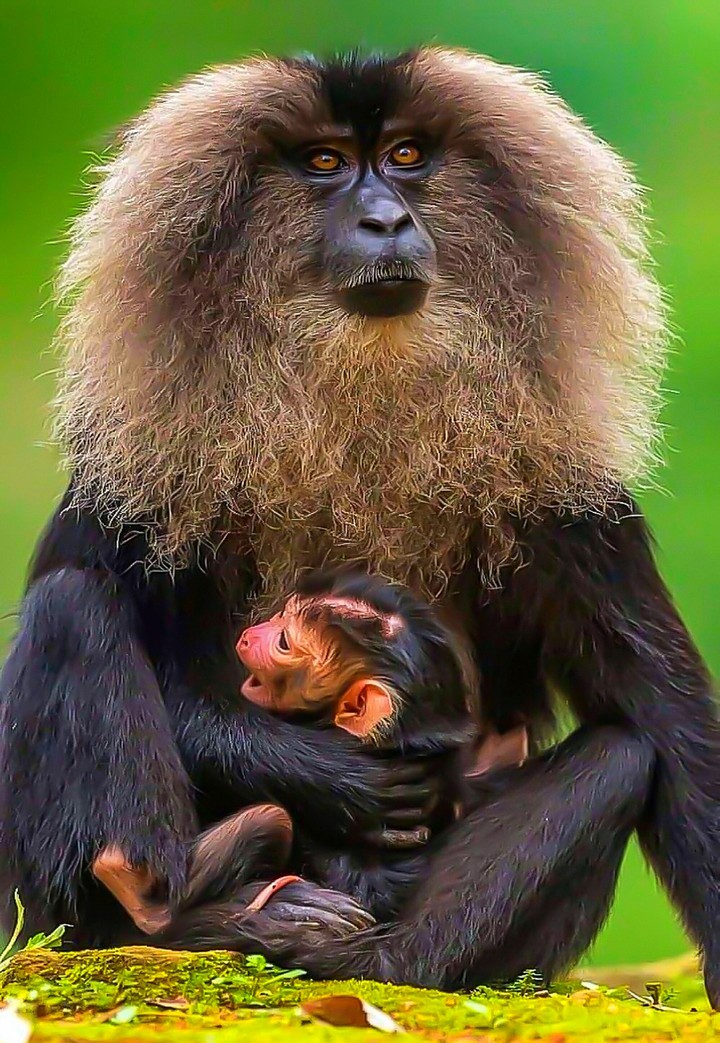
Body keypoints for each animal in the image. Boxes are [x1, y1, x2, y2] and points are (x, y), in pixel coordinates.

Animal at [1, 46, 717, 1001]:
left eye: (407, 156)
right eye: (327, 163)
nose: (386, 218)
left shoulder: (565, 478)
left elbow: (662, 712)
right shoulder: (142, 460)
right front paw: (333, 775)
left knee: (617, 758)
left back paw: (360, 955)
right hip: (47, 901)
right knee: (70, 606)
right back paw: (176, 913)